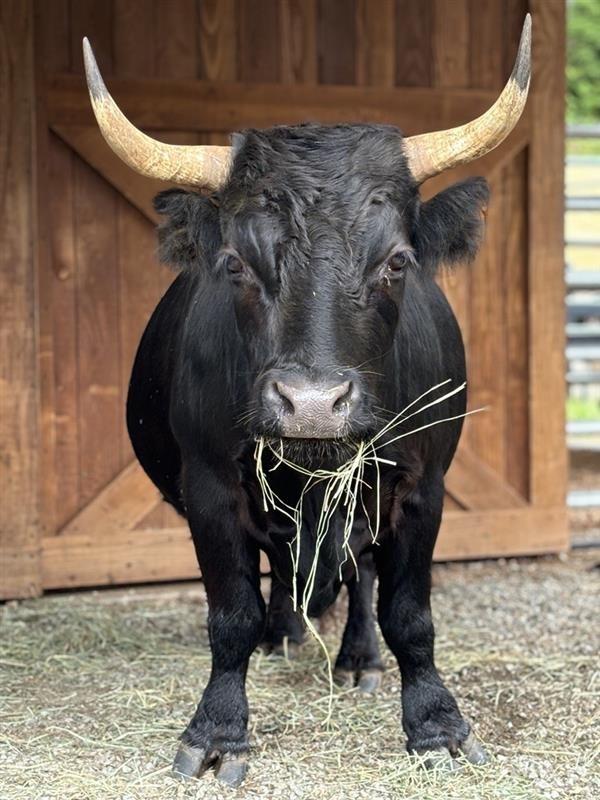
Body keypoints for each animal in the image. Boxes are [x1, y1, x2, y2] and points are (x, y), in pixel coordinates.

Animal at [83, 15, 531, 788]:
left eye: (397, 261)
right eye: (235, 263)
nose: (314, 403)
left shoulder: (422, 486)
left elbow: (409, 612)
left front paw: (437, 726)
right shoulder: (209, 486)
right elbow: (230, 612)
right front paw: (217, 733)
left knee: (361, 573)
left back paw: (356, 658)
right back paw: (283, 634)